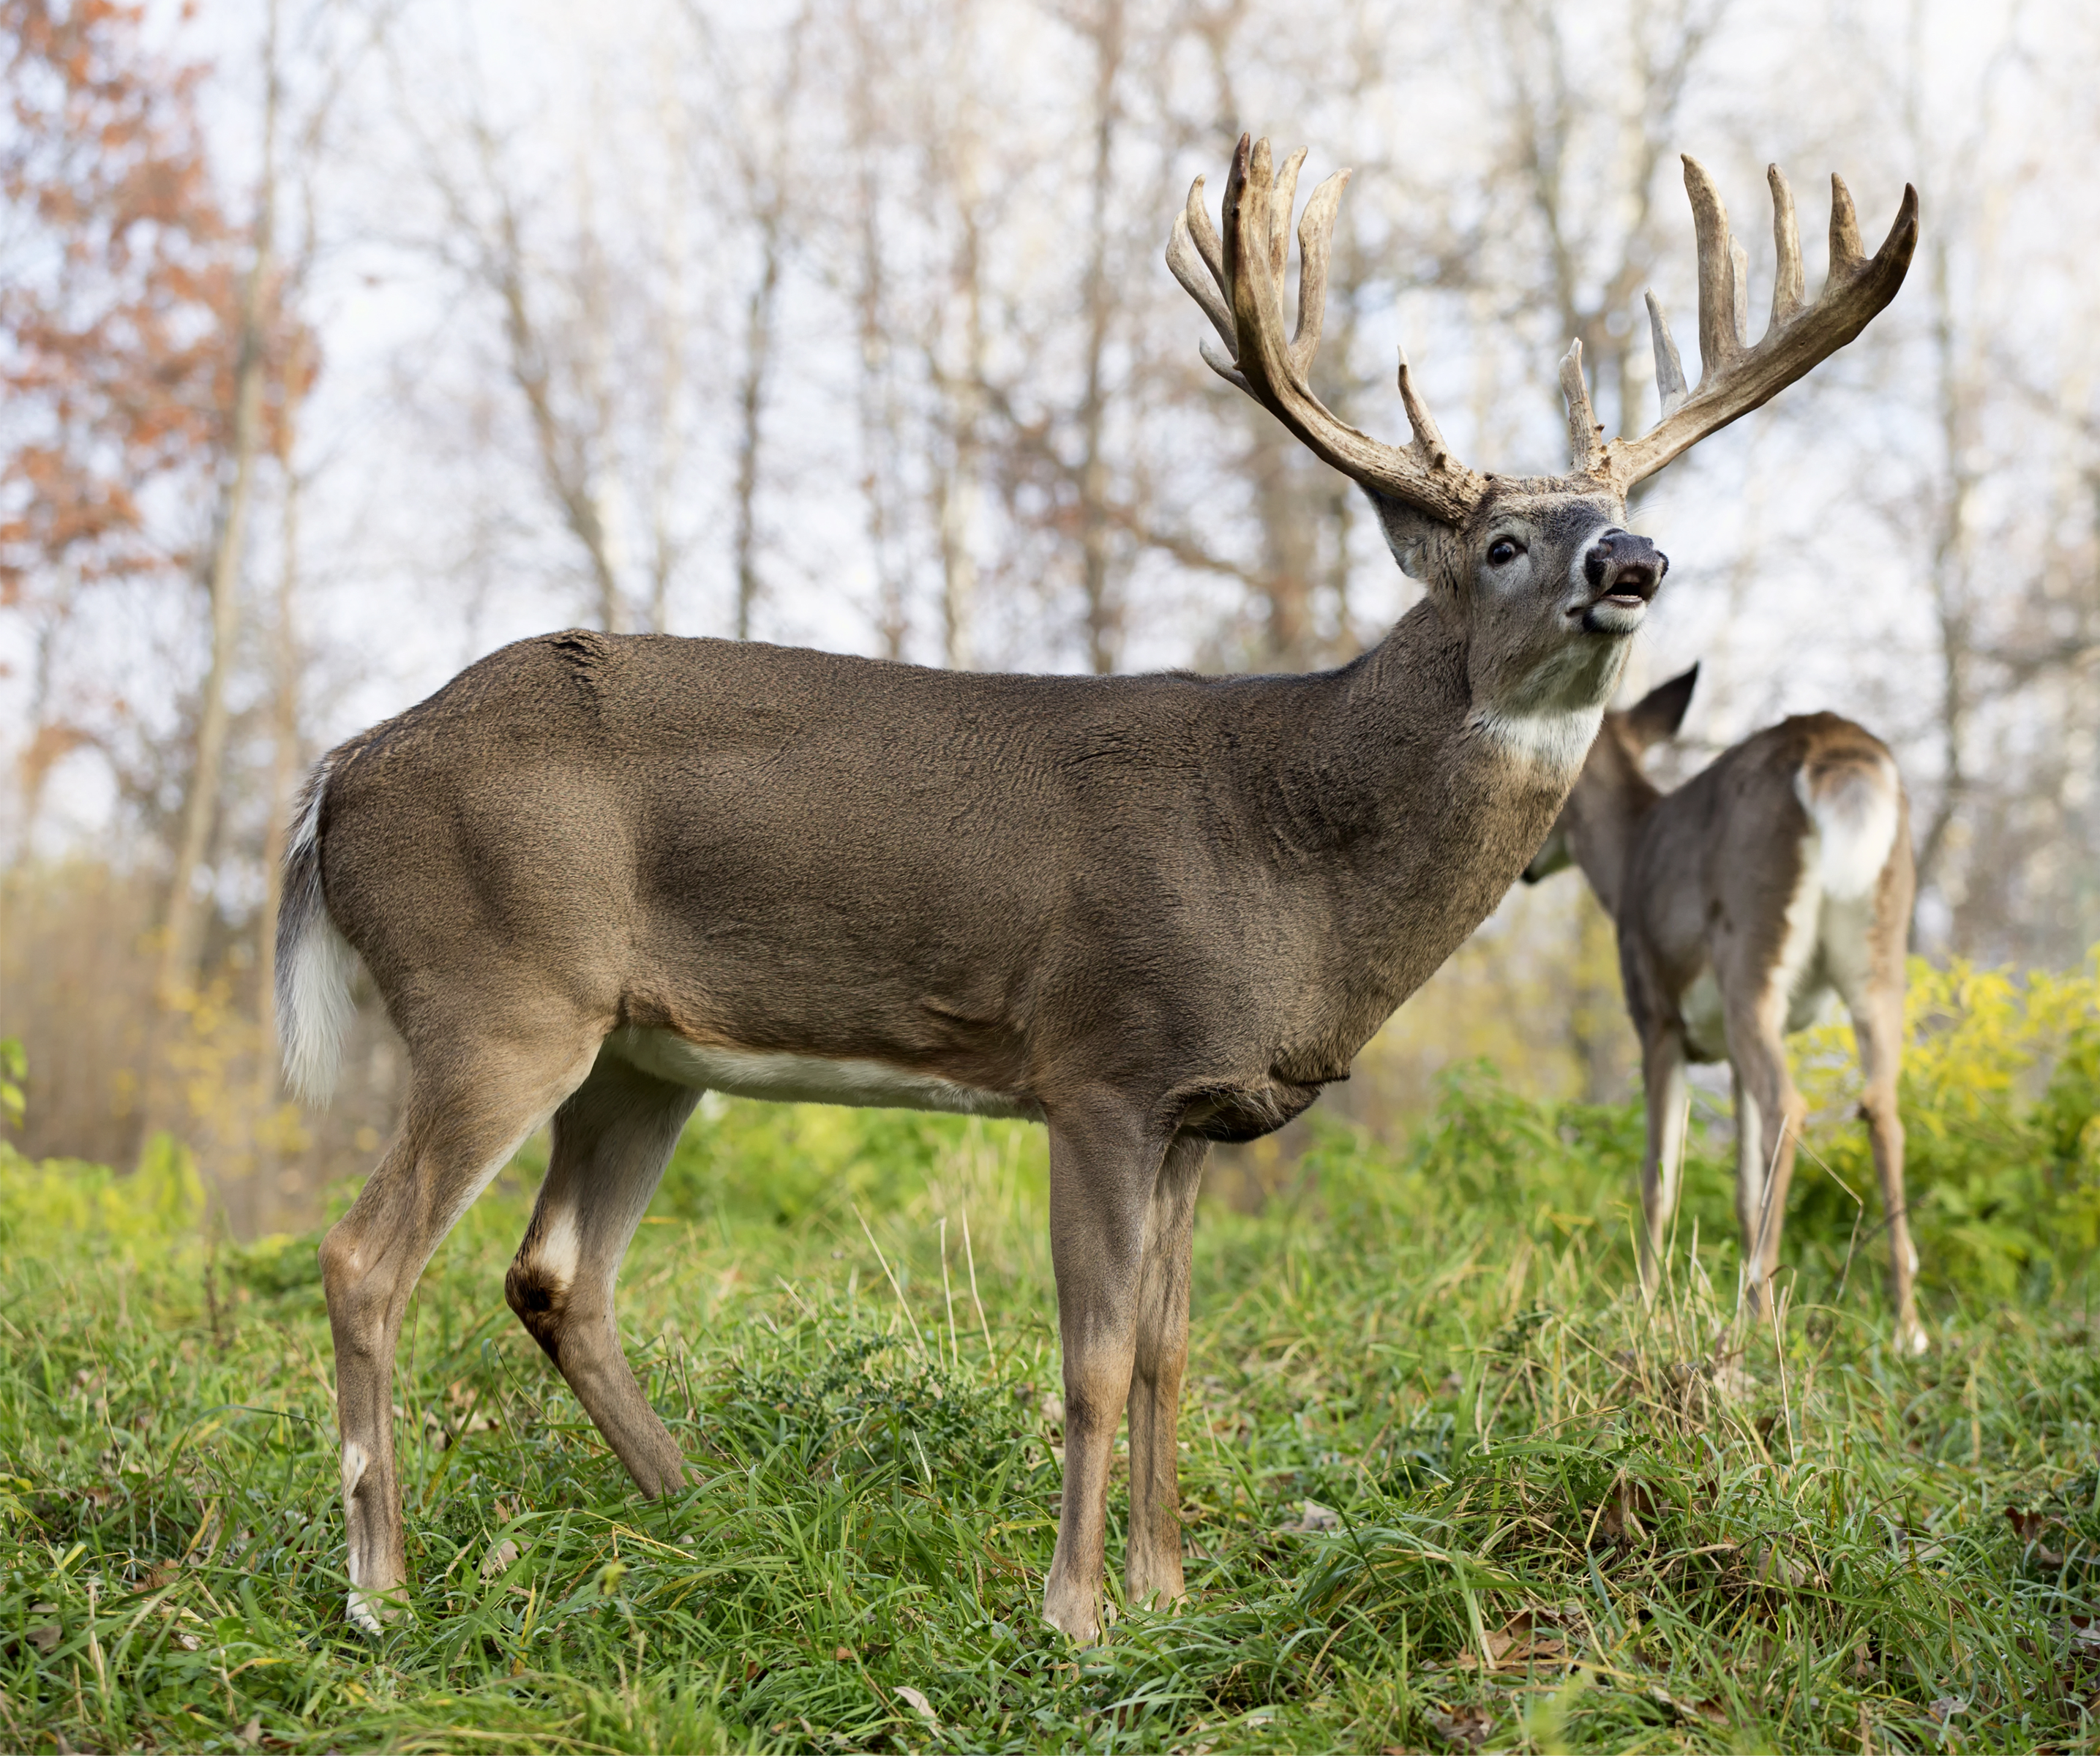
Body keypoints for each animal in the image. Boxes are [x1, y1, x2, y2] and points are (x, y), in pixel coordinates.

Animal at [1529, 664, 1923, 1352]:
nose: (1524, 867)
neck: (1625, 861)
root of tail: (1837, 747)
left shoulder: (1657, 1018)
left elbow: (1659, 1178)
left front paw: (1644, 1306)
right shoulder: (1725, 1053)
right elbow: (1742, 1185)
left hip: (1752, 955)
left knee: (1789, 1105)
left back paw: (1755, 1313)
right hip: (1879, 959)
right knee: (1883, 1108)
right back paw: (1906, 1327)